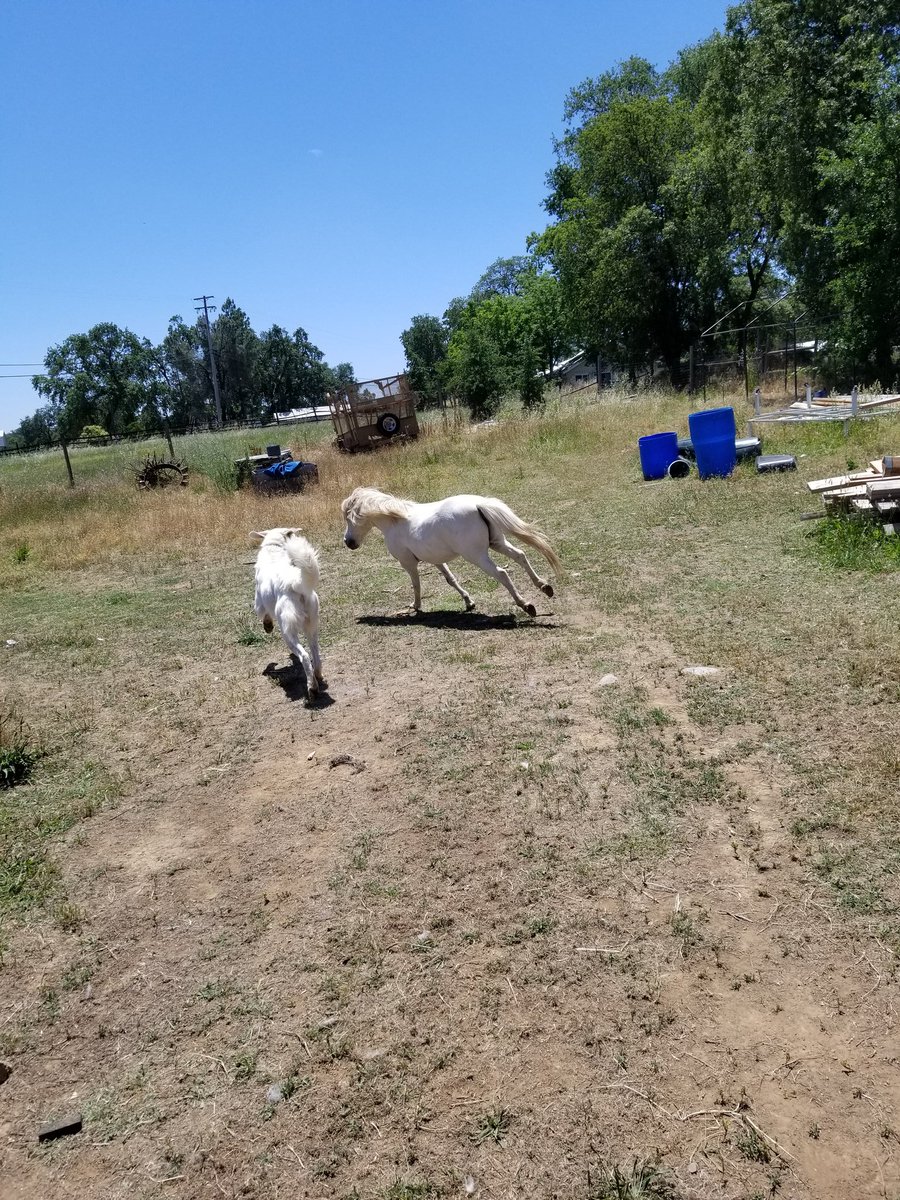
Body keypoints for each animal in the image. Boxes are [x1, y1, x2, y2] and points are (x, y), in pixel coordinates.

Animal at [252, 527, 325, 700]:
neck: (274, 549)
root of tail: (295, 583)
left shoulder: (259, 604)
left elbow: (264, 616)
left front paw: (268, 626)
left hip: (287, 632)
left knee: (304, 656)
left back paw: (312, 687)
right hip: (312, 625)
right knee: (315, 653)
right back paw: (317, 675)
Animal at [340, 487, 561, 616]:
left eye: (349, 517)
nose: (348, 542)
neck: (395, 521)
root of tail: (478, 504)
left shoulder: (408, 563)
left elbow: (416, 584)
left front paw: (416, 607)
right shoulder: (435, 559)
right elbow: (451, 579)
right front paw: (469, 602)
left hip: (477, 556)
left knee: (502, 573)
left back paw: (526, 605)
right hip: (497, 543)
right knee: (520, 556)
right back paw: (545, 587)